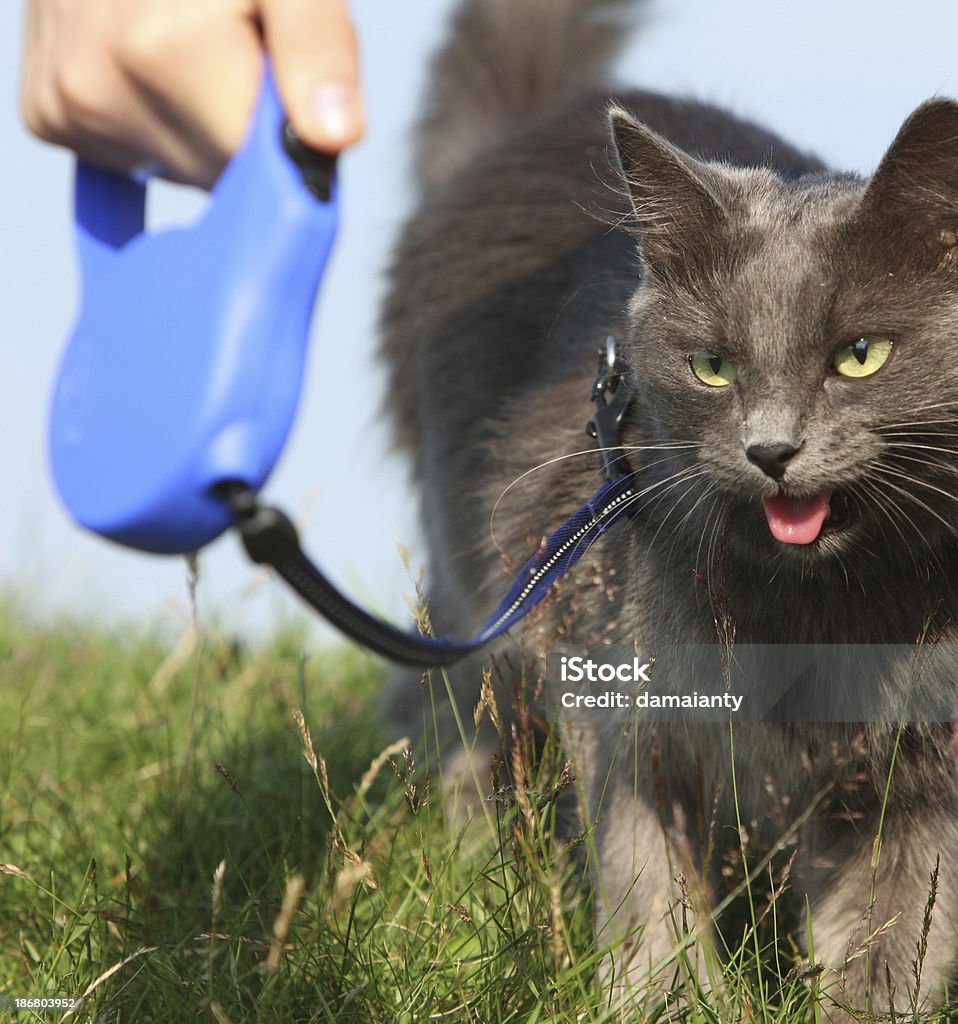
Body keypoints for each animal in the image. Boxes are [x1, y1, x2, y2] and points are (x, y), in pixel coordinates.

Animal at [378, 0, 958, 1011]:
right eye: (713, 366)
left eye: (861, 356)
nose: (771, 450)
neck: (814, 614)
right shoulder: (621, 704)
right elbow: (650, 890)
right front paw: (669, 1005)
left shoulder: (921, 773)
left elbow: (896, 936)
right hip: (483, 590)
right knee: (447, 727)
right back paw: (466, 873)